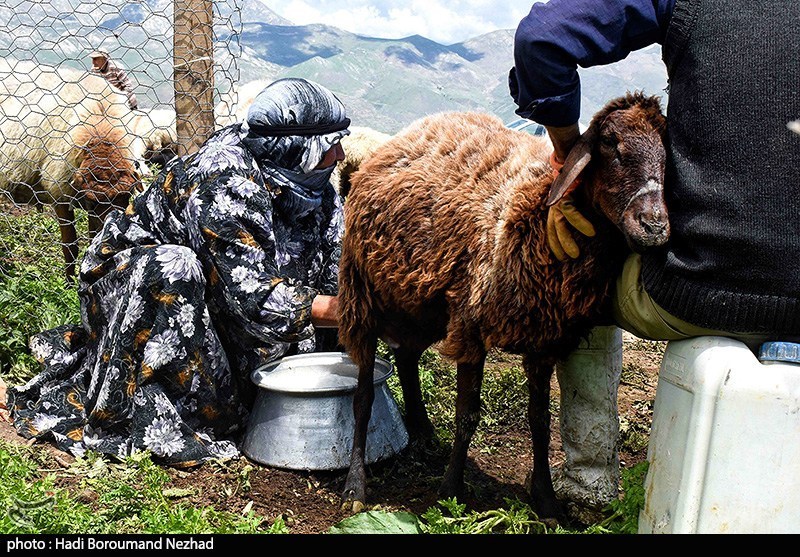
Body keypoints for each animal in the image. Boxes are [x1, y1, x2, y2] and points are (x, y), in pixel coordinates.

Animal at [0, 60, 148, 282]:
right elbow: (70, 247)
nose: (111, 246)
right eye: (93, 203)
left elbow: (91, 241)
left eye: (126, 197)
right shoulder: (59, 192)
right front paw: (69, 284)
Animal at [336, 92, 669, 522]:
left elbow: (540, 422)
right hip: (362, 295)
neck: (537, 215)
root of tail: (394, 143)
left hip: (422, 303)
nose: (655, 227)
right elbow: (467, 417)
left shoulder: (545, 342)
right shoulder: (471, 328)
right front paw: (451, 493)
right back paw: (355, 487)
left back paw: (423, 431)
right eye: (610, 143)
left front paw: (546, 501)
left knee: (407, 358)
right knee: (363, 397)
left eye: (668, 151)